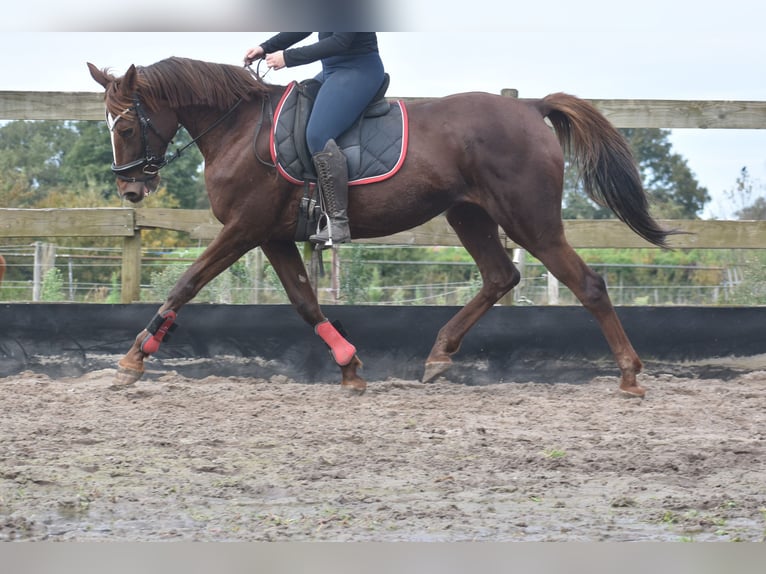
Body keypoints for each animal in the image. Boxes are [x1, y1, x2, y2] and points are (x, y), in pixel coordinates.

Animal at [91, 58, 680, 400]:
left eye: (126, 125)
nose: (131, 192)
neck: (238, 128)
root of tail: (530, 108)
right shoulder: (273, 234)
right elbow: (305, 303)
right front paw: (350, 366)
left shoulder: (244, 227)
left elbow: (185, 284)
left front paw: (133, 359)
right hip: (469, 214)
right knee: (500, 277)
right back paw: (439, 355)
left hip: (530, 220)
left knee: (588, 285)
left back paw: (629, 376)